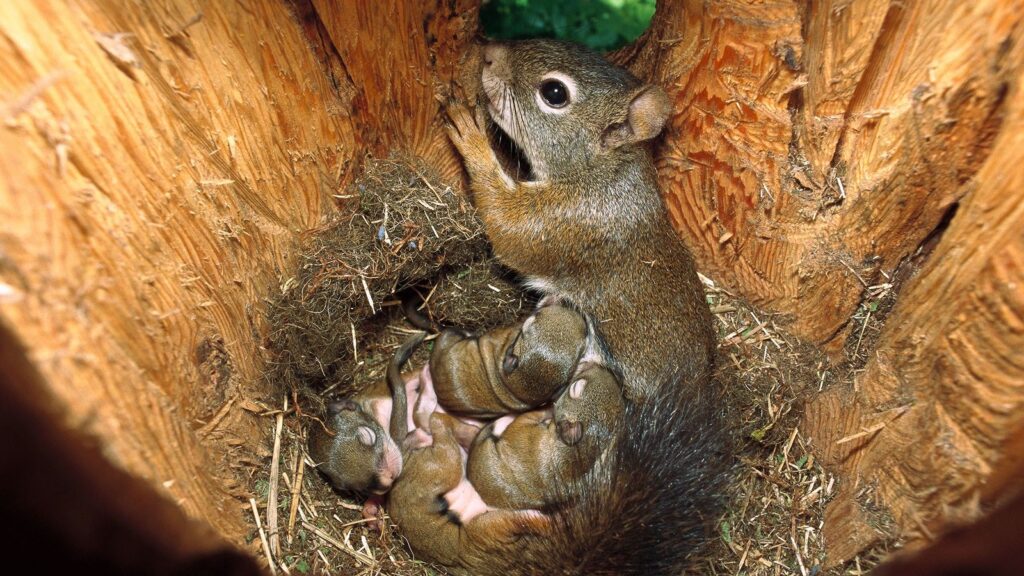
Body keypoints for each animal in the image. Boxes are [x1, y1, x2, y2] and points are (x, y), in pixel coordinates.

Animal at [426, 38, 730, 574]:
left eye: (554, 93)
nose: (491, 54)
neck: (601, 177)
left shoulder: (562, 227)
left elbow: (506, 227)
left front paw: (471, 137)